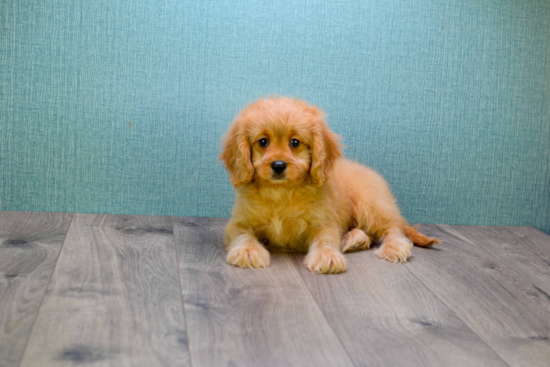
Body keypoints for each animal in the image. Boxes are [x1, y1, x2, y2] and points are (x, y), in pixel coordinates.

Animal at [220, 96, 440, 274]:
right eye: (263, 142)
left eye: (295, 143)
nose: (279, 165)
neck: (281, 192)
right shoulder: (237, 222)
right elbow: (243, 234)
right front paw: (248, 250)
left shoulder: (324, 221)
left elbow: (325, 238)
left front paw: (326, 256)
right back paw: (355, 239)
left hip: (370, 204)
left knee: (393, 228)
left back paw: (392, 246)